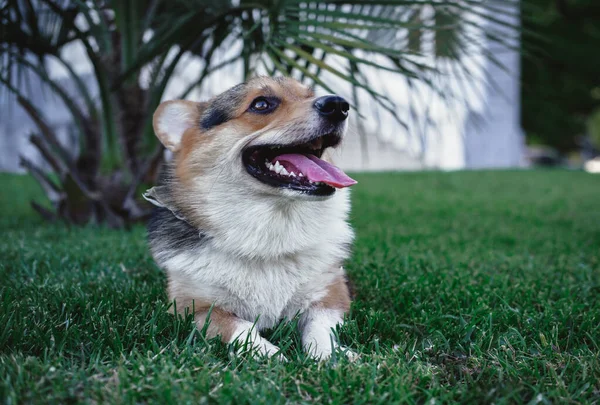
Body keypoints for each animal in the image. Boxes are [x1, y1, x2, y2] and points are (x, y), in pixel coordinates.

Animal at [146, 76, 358, 360]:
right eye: (261, 104)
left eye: (310, 94)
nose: (339, 105)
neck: (270, 234)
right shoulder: (192, 307)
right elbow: (239, 326)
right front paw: (271, 354)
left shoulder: (330, 295)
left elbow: (320, 327)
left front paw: (331, 356)